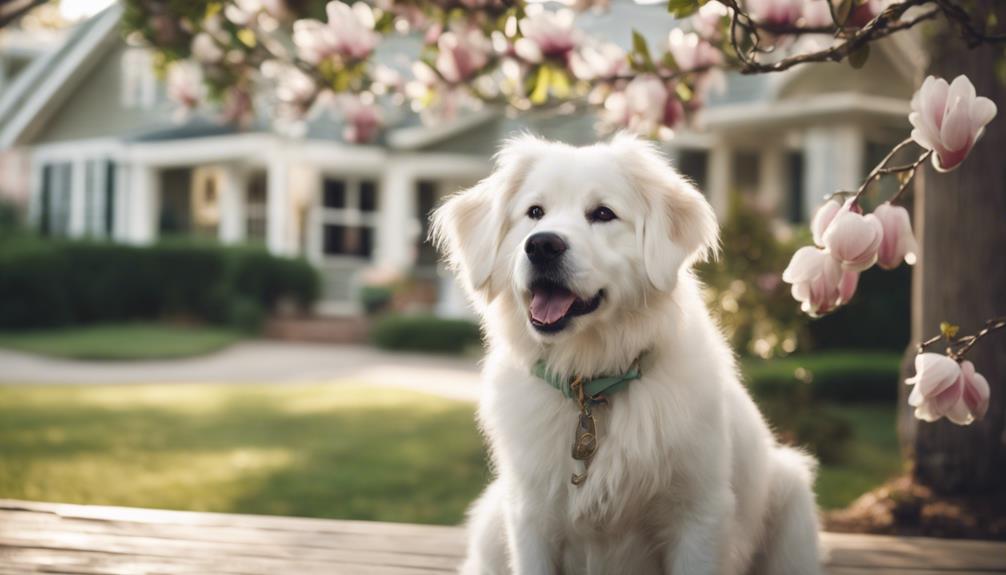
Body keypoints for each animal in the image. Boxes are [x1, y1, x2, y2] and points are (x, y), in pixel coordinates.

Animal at [430, 134, 816, 575]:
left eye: (603, 213)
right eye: (534, 212)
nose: (542, 244)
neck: (591, 382)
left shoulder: (698, 518)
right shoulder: (531, 518)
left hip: (792, 494)